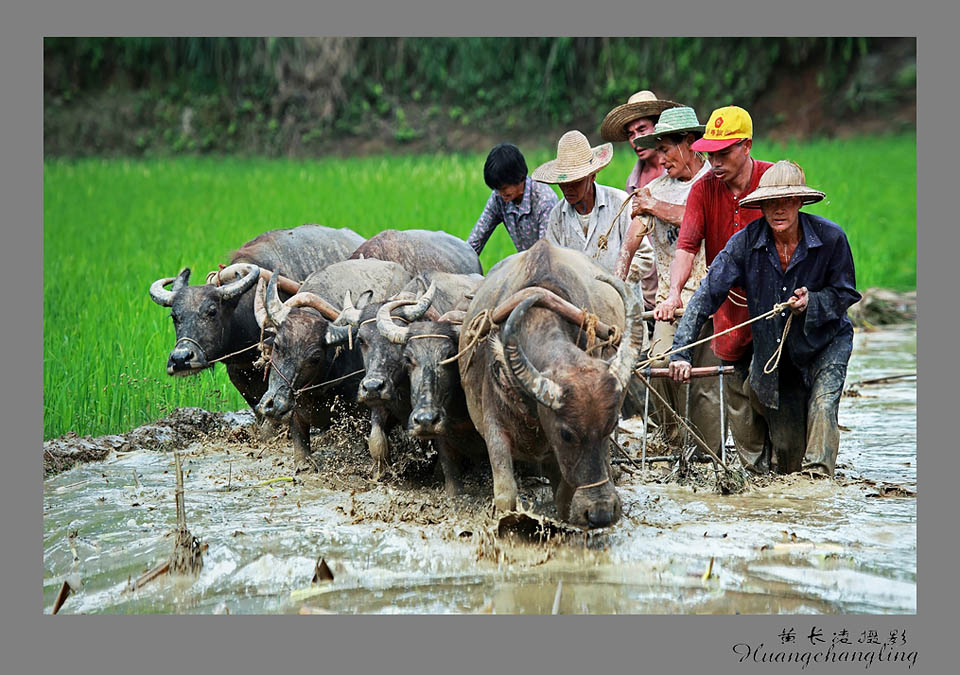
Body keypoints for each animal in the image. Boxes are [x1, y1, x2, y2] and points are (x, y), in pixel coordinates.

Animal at [460, 240, 644, 532]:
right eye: (566, 434)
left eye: (611, 425)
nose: (601, 512)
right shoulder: (493, 422)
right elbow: (505, 492)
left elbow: (563, 497)